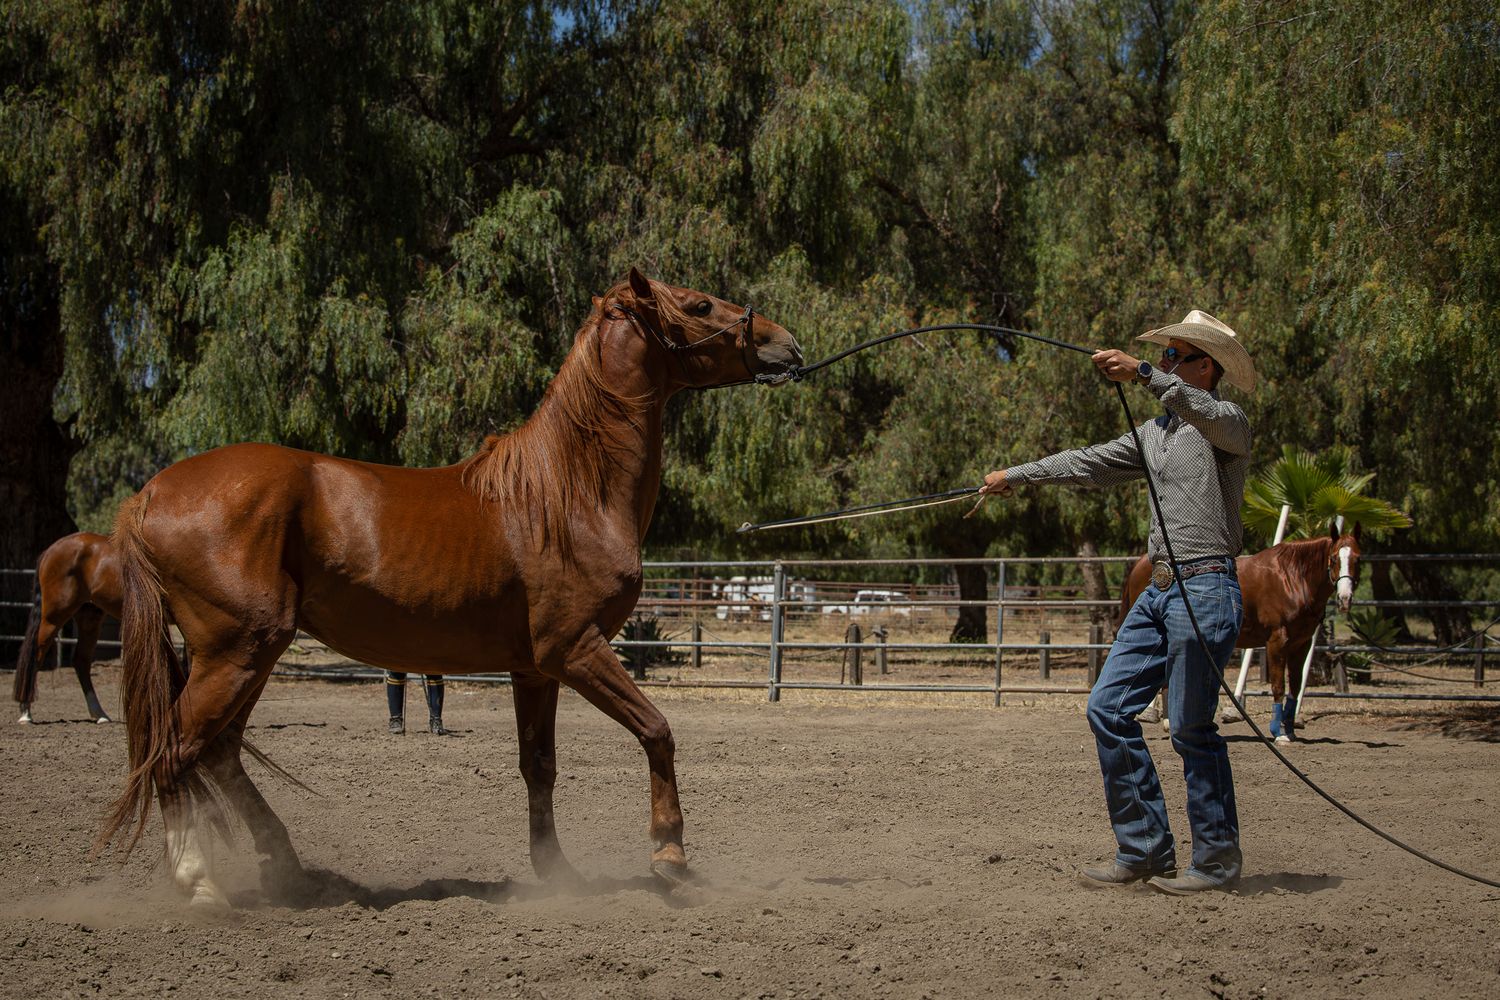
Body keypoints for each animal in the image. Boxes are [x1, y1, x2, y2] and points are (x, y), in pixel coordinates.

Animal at [12, 532, 121, 724]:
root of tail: (49, 550)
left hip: (89, 618)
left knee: (81, 661)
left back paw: (99, 714)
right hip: (53, 618)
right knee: (36, 656)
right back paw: (26, 713)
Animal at [96, 268, 801, 908]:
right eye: (700, 304)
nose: (786, 343)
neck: (567, 493)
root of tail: (149, 495)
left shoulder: (535, 670)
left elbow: (538, 766)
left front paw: (558, 876)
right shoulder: (575, 650)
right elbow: (657, 730)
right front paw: (669, 854)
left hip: (248, 658)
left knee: (218, 754)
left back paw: (287, 871)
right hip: (238, 653)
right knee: (173, 752)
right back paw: (200, 883)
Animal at [1117, 523, 1363, 742]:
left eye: (1357, 559)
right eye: (1334, 559)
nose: (1345, 599)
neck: (1292, 578)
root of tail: (1141, 564)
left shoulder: (1301, 644)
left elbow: (1294, 685)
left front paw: (1291, 730)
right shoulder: (1276, 641)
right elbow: (1278, 685)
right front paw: (1278, 732)